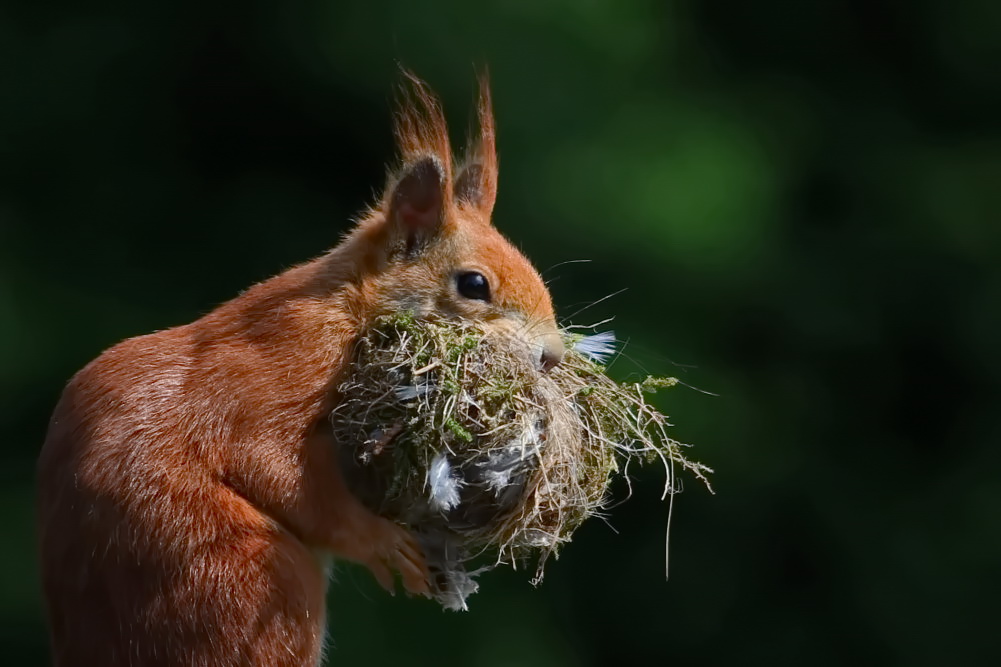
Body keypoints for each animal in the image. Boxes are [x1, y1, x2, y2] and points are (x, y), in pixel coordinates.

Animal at [37, 75, 564, 660]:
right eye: (474, 285)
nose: (553, 355)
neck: (347, 307)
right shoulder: (288, 359)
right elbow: (268, 462)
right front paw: (383, 541)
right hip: (245, 582)